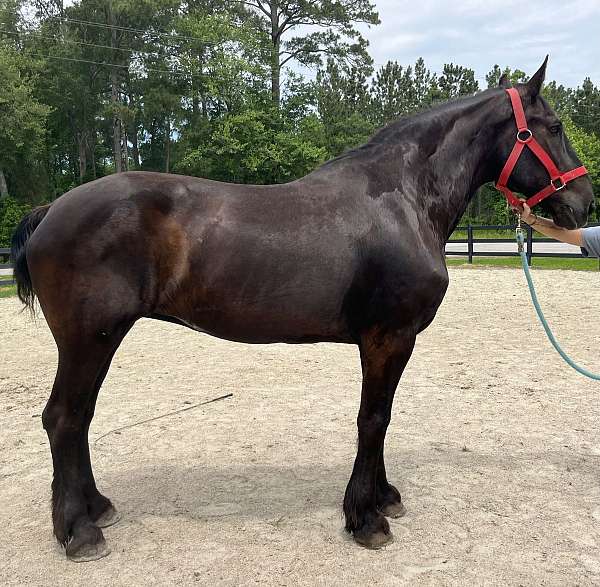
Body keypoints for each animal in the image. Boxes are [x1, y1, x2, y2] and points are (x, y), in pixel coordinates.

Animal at [11, 58, 592, 560]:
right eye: (555, 126)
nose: (582, 204)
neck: (403, 199)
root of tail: (51, 209)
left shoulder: (389, 342)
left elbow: (381, 418)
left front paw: (382, 498)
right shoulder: (389, 337)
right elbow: (373, 419)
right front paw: (365, 519)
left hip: (101, 339)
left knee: (80, 418)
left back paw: (96, 510)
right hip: (89, 338)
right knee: (63, 418)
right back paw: (79, 531)